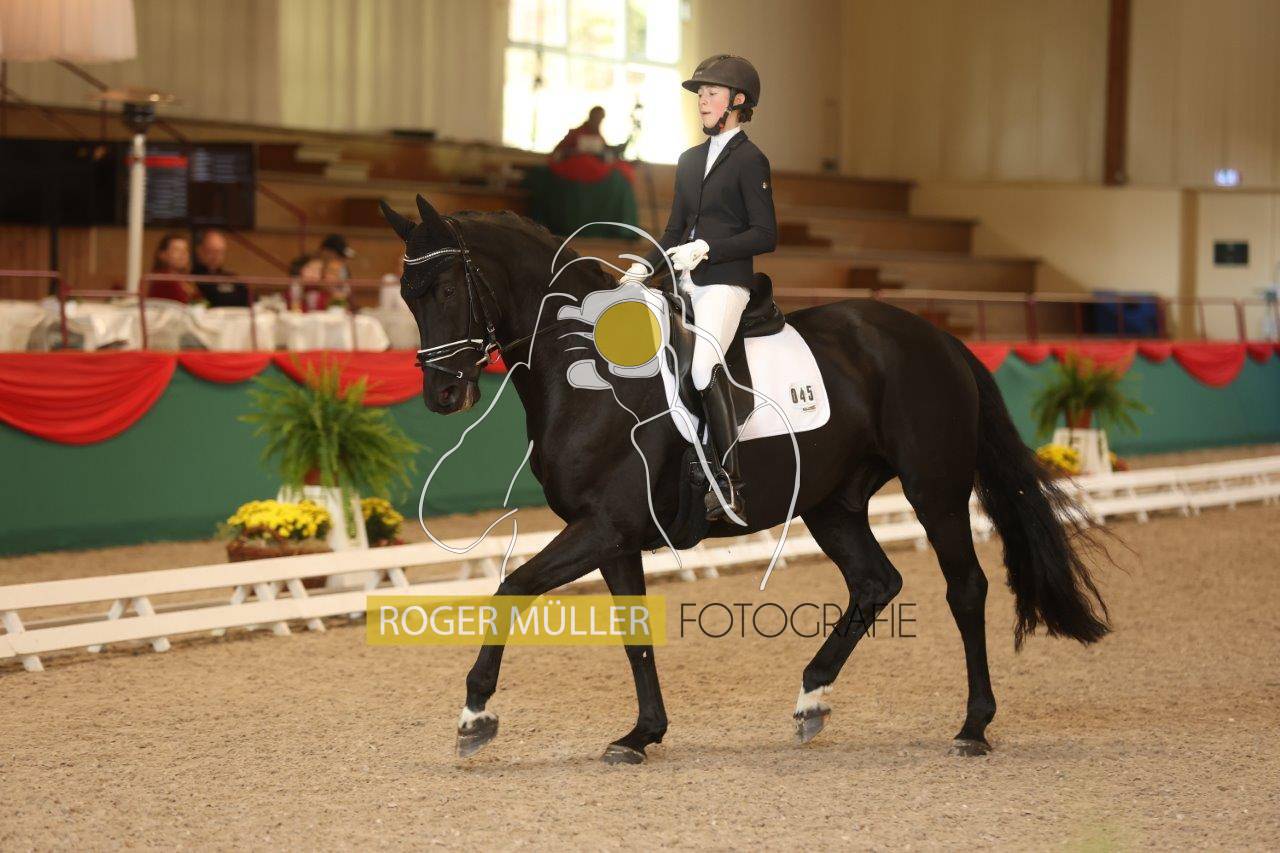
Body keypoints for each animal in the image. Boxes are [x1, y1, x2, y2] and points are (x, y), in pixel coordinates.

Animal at [381, 194, 1110, 765]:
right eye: (407, 296)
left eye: (446, 289)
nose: (443, 394)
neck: (591, 374)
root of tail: (940, 338)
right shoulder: (612, 535)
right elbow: (633, 630)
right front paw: (641, 734)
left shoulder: (602, 525)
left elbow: (511, 588)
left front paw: (475, 715)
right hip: (831, 502)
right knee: (876, 581)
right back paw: (812, 697)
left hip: (935, 490)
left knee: (966, 588)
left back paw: (973, 725)